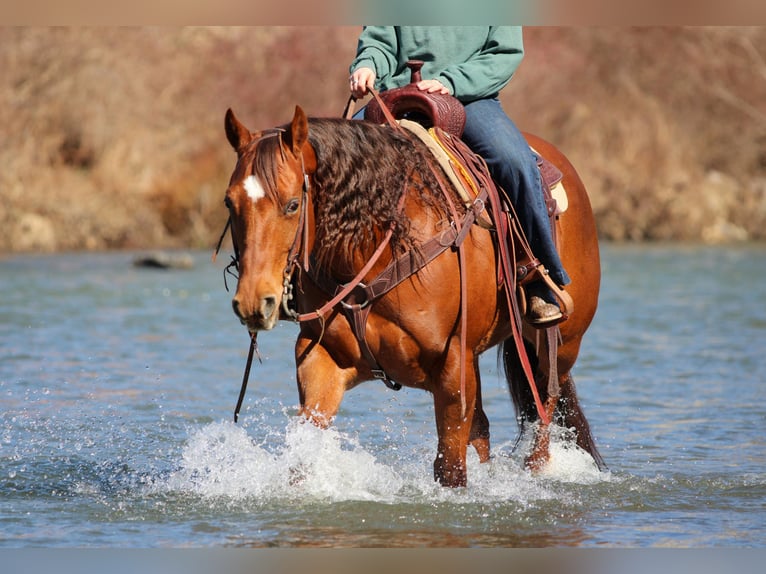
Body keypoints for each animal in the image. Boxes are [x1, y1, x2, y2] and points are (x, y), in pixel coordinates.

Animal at [221, 104, 604, 487]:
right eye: (229, 202)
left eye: (292, 204)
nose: (254, 302)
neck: (380, 249)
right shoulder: (321, 359)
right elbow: (304, 456)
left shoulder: (453, 368)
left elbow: (451, 469)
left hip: (559, 345)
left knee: (545, 413)